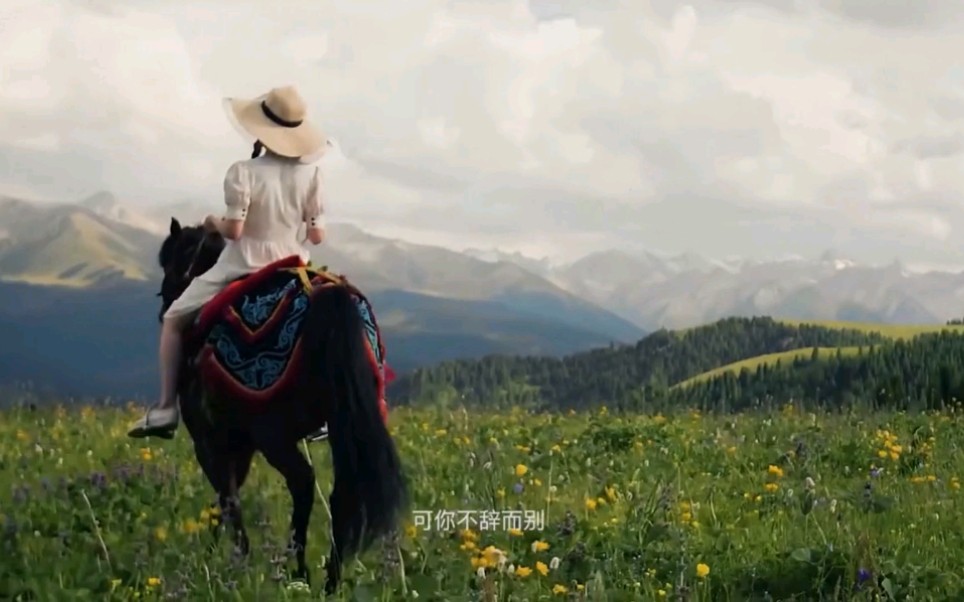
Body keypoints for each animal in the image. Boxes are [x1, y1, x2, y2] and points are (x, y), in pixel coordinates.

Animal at [158, 218, 406, 592]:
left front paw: (230, 560)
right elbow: (223, 500)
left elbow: (227, 498)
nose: (164, 307)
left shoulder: (210, 440)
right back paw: (328, 582)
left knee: (302, 482)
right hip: (342, 424)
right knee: (341, 493)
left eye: (170, 264)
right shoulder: (240, 444)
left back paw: (297, 569)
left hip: (273, 433)